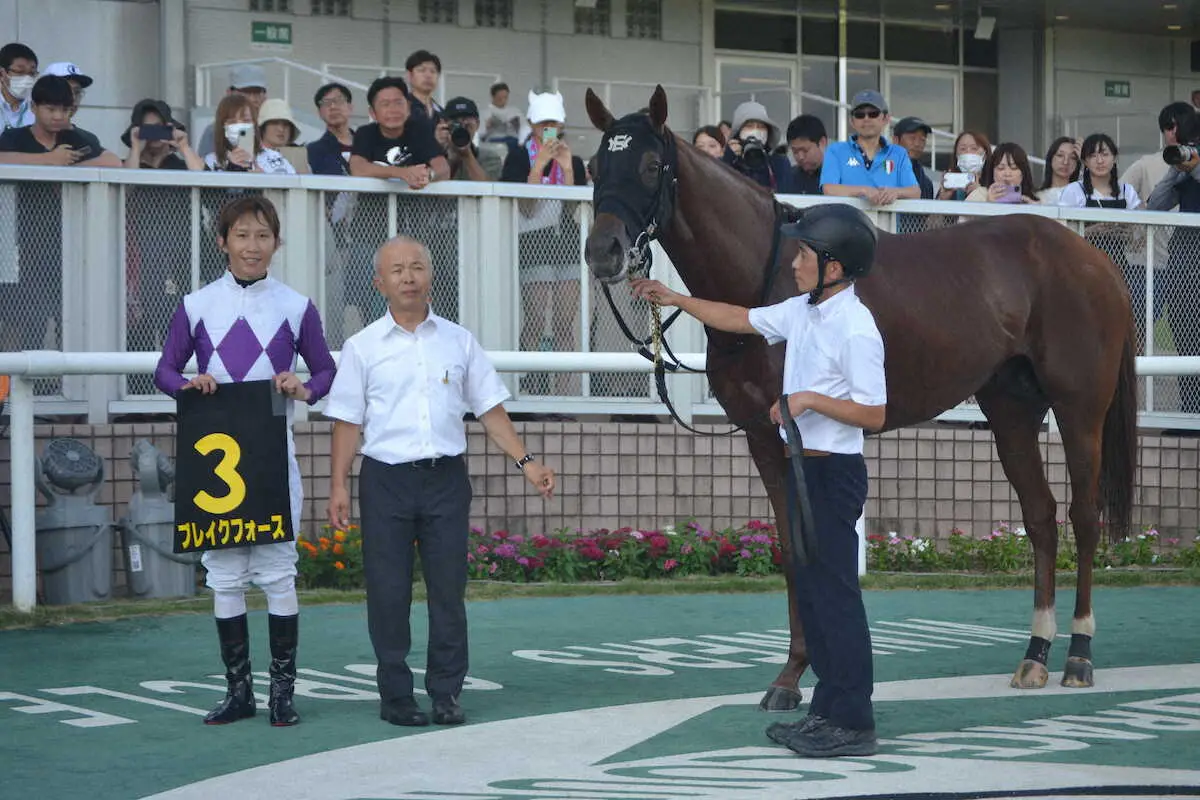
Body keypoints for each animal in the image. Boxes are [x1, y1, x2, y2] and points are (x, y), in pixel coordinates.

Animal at [585, 86, 1137, 714]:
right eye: (596, 166)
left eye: (651, 166)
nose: (603, 252)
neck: (767, 276)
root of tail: (1093, 259)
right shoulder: (762, 435)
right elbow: (790, 544)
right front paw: (791, 674)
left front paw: (807, 674)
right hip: (1011, 410)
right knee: (1040, 516)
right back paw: (1035, 655)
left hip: (1079, 410)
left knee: (1083, 517)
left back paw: (1078, 656)